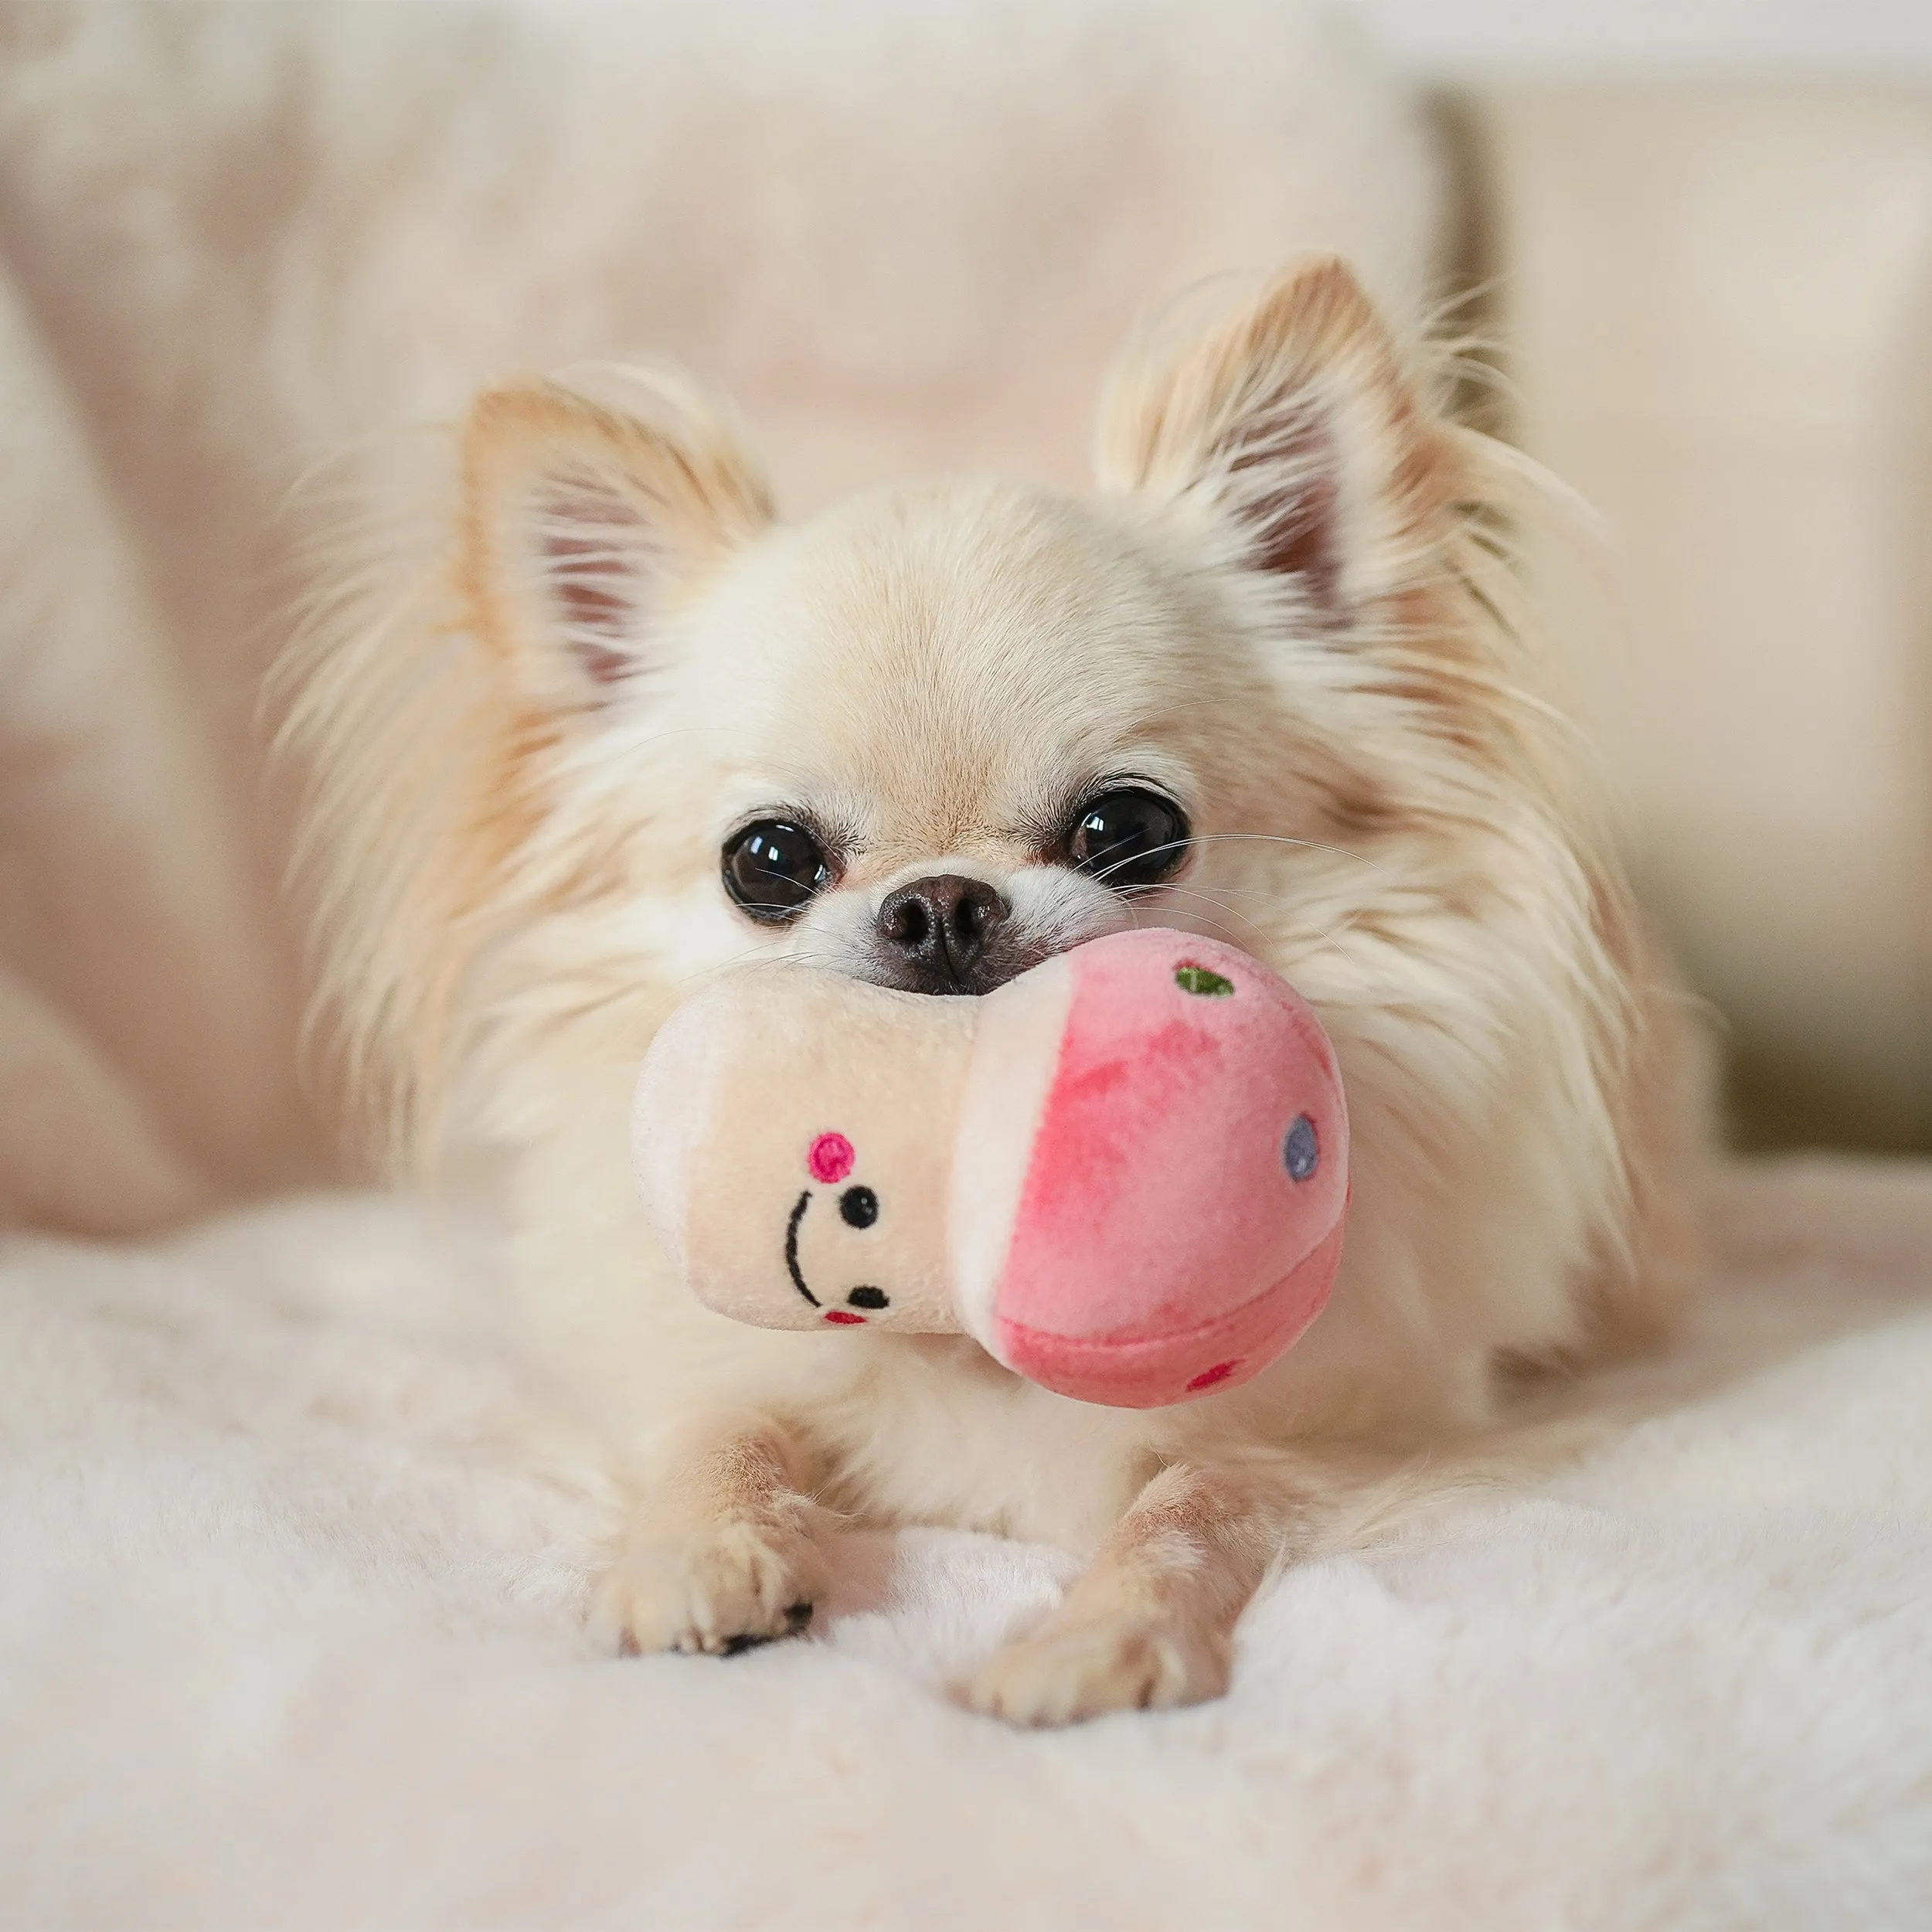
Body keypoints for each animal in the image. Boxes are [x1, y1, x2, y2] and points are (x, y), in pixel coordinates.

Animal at [290, 253, 1708, 1723]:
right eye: (768, 861)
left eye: (1128, 830)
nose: (939, 904)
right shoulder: (713, 1372)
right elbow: (723, 1429)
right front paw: (699, 1552)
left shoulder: (1364, 1427)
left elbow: (1196, 1497)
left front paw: (1107, 1638)